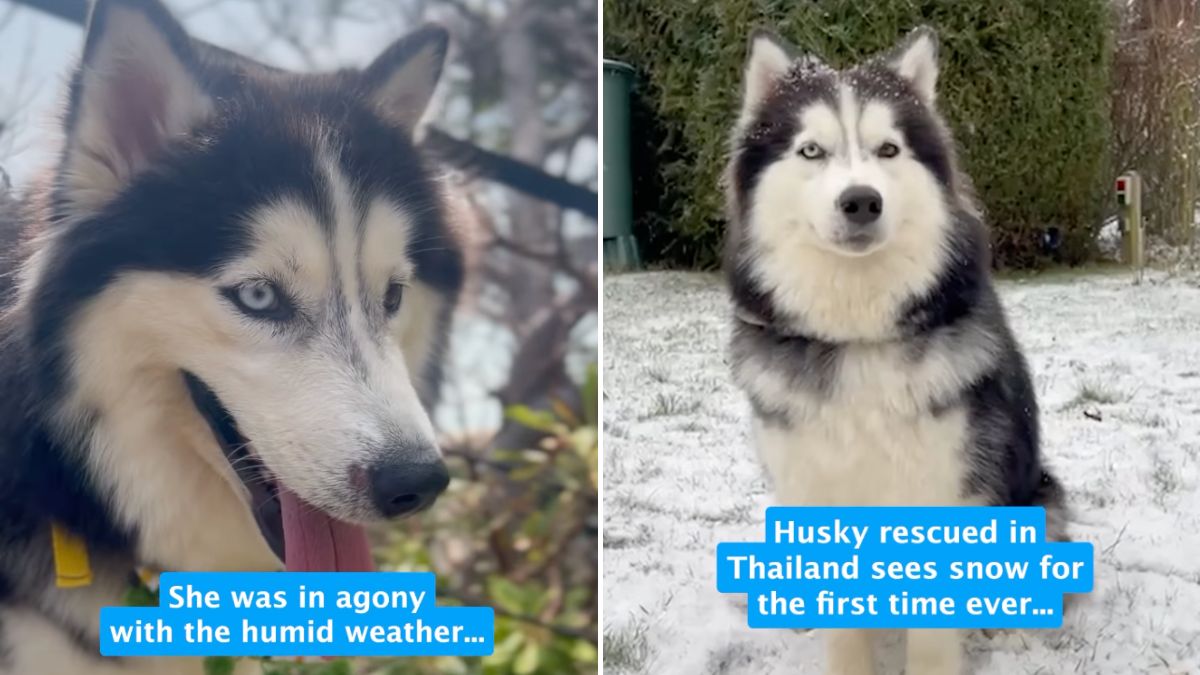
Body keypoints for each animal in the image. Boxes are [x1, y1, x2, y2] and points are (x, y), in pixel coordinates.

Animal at [720, 26, 1070, 672]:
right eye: (812, 151)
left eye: (887, 150)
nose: (861, 200)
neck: (859, 333)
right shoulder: (810, 493)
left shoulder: (943, 491)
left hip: (1037, 498)